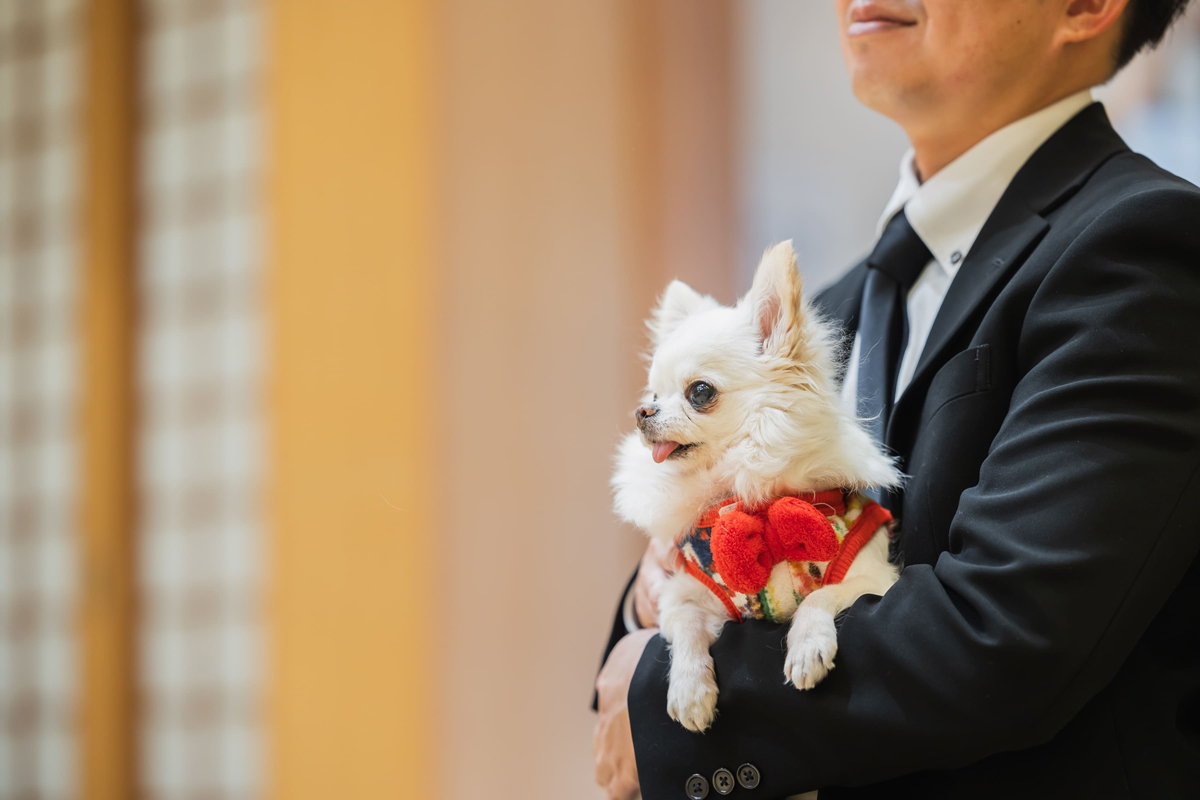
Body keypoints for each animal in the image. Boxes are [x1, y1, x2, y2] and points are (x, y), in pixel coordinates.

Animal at [614, 242, 902, 734]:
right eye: (652, 394)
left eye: (700, 392)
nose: (642, 413)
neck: (753, 501)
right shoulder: (684, 591)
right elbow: (685, 627)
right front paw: (689, 690)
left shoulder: (874, 579)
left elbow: (822, 594)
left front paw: (807, 647)